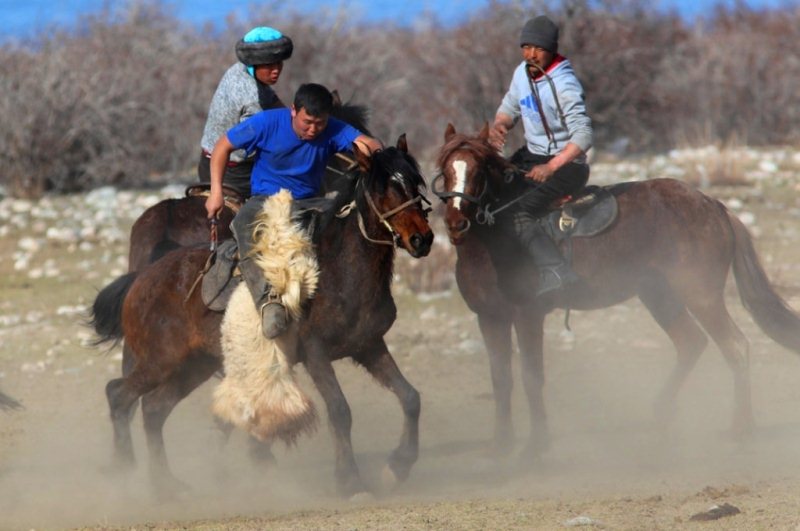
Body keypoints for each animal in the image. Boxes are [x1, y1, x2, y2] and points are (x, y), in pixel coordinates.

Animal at [90, 136, 434, 498]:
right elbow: (340, 411)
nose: (421, 238)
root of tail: (142, 278)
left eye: (414, 183)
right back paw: (127, 473)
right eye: (383, 190)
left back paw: (167, 484)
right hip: (161, 361)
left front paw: (398, 466)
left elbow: (410, 398)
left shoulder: (368, 346)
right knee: (120, 395)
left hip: (194, 365)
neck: (338, 271)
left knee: (153, 409)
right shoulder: (316, 353)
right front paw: (350, 480)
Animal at [434, 124, 800, 462]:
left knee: (735, 347)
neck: (497, 240)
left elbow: (531, 377)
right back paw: (662, 417)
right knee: (690, 343)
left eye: (479, 171)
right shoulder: (490, 318)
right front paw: (500, 445)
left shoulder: (528, 315)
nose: (456, 224)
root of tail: (713, 205)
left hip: (701, 295)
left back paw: (741, 430)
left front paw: (534, 447)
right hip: (659, 296)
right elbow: (501, 379)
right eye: (446, 170)